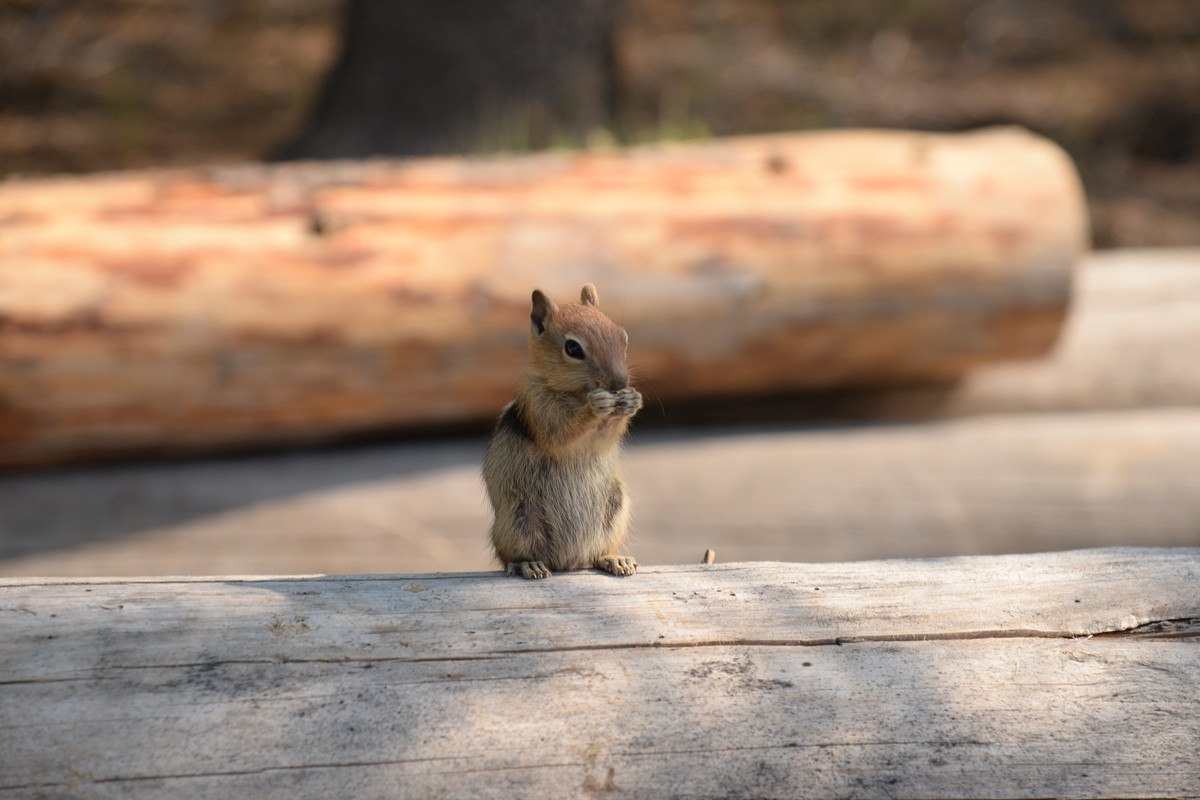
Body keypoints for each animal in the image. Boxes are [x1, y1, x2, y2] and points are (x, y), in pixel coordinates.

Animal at [482, 284, 643, 578]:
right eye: (573, 348)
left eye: (622, 336)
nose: (620, 382)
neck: (577, 393)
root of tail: (569, 563)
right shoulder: (538, 406)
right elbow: (561, 432)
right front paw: (595, 407)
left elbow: (607, 436)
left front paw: (632, 400)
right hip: (519, 518)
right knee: (512, 556)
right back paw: (529, 564)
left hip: (615, 508)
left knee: (596, 555)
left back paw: (614, 559)